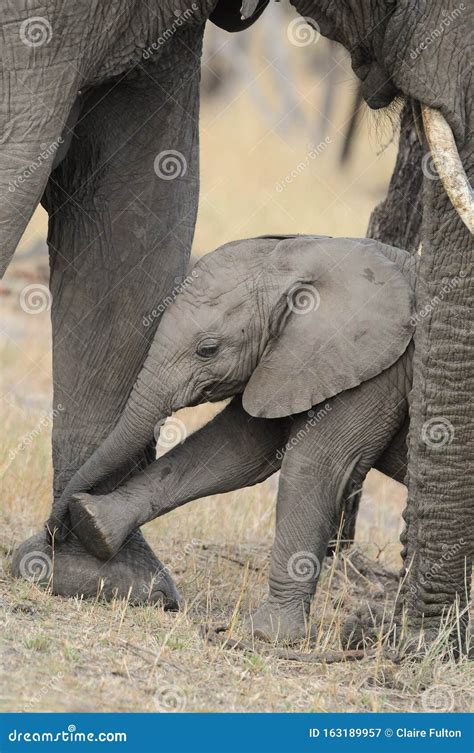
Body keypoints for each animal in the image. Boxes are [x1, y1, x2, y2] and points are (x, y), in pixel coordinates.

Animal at [41, 234, 416, 642]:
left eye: (208, 349)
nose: (55, 531)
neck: (308, 254)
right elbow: (240, 447)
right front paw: (94, 522)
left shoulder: (378, 372)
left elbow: (314, 466)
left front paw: (266, 635)